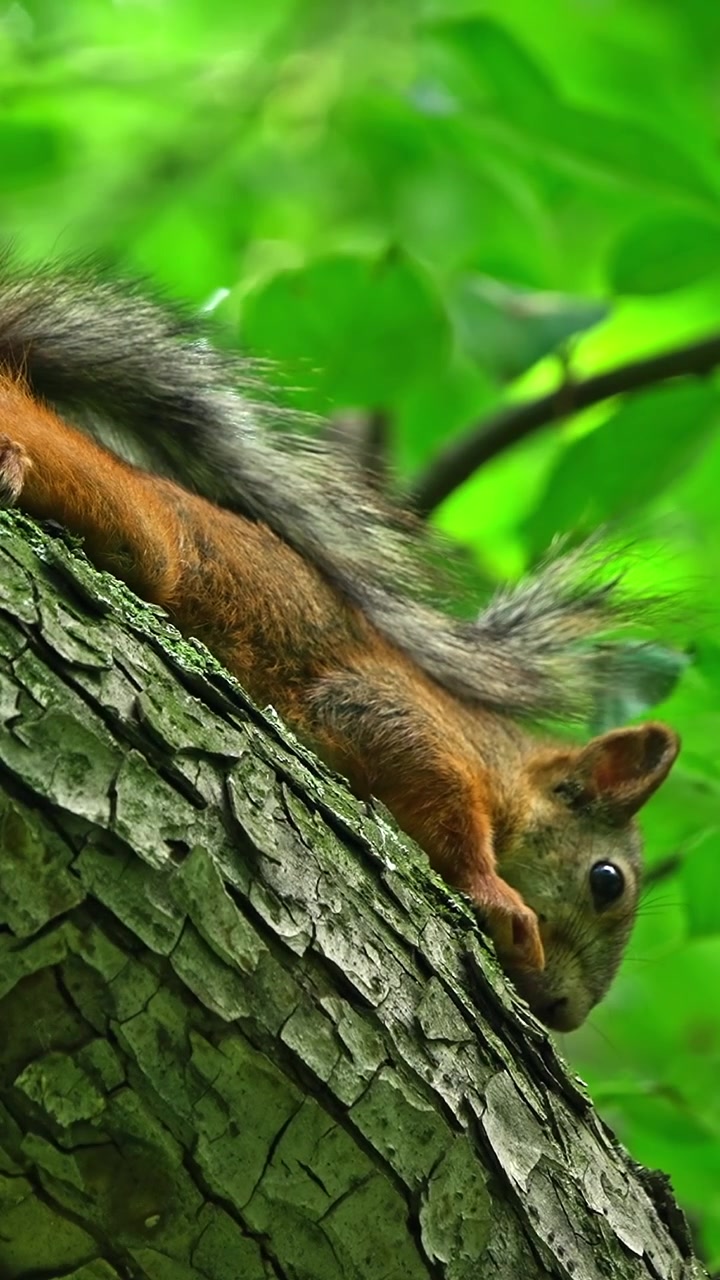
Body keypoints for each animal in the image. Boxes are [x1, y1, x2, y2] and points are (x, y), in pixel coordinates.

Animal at [0, 263, 680, 1031]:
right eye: (607, 881)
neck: (500, 761)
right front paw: (495, 894)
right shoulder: (394, 710)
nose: (566, 1015)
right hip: (146, 527)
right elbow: (423, 779)